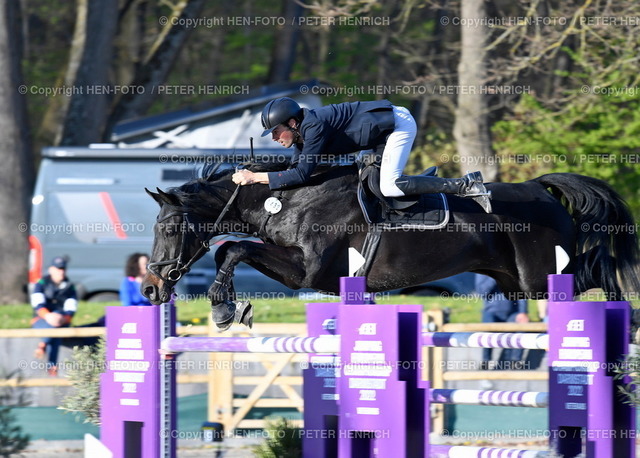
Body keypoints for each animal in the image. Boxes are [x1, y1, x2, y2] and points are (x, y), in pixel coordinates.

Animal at [142, 161, 640, 330]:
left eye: (168, 230)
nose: (150, 288)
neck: (287, 198)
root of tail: (539, 187)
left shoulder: (307, 272)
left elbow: (232, 248)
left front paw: (225, 309)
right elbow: (230, 248)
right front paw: (229, 306)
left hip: (540, 278)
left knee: (598, 272)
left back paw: (626, 312)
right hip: (516, 282)